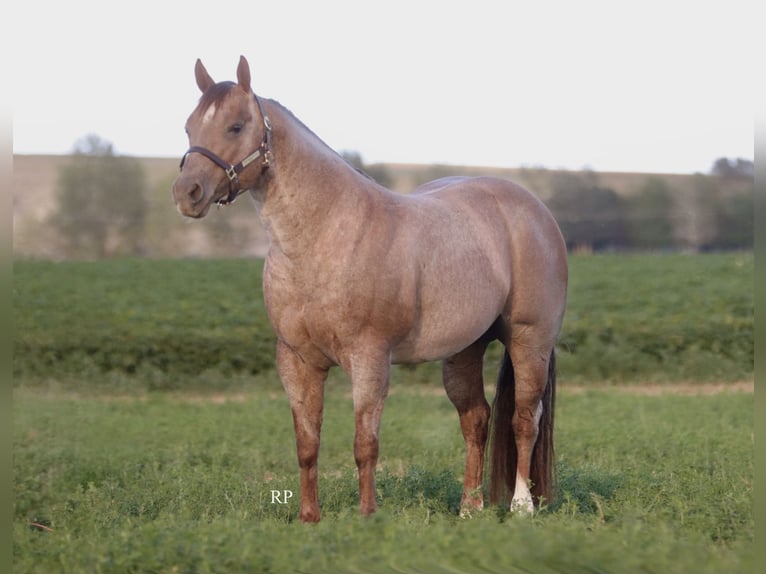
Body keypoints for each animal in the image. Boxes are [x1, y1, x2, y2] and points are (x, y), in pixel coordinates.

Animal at [172, 56, 568, 523]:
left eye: (235, 126)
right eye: (189, 127)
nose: (187, 193)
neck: (325, 236)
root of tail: (535, 210)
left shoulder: (369, 359)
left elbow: (365, 445)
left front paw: (367, 516)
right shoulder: (297, 360)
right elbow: (307, 444)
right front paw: (309, 518)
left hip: (529, 341)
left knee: (525, 418)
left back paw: (522, 506)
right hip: (464, 350)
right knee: (477, 419)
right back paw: (469, 508)